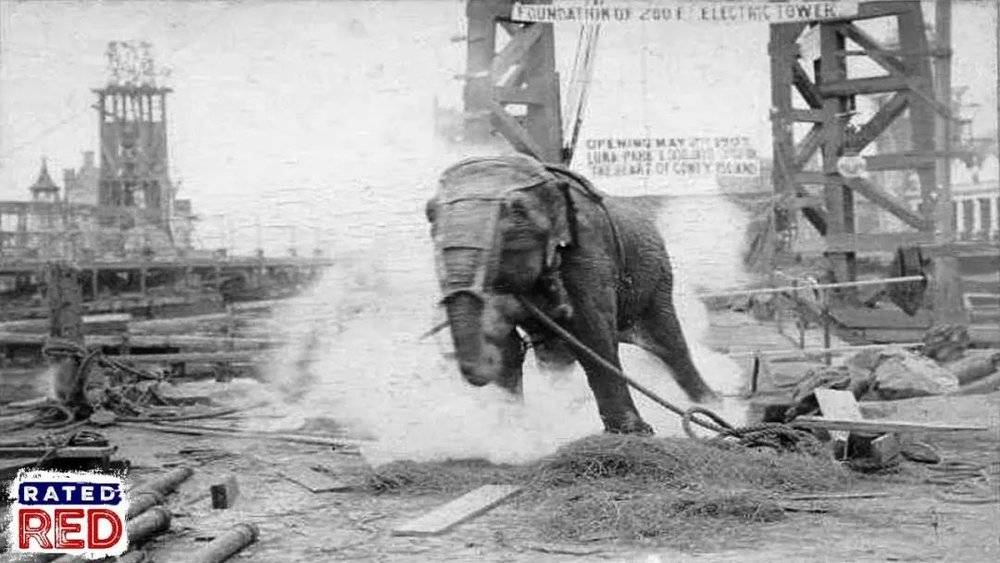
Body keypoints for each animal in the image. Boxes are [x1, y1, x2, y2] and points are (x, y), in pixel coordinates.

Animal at [426, 155, 716, 436]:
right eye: (430, 213)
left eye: (517, 211)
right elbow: (504, 345)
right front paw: (513, 431)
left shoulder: (588, 252)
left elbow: (593, 335)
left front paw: (633, 433)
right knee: (555, 355)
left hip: (656, 278)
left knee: (670, 344)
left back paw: (712, 405)